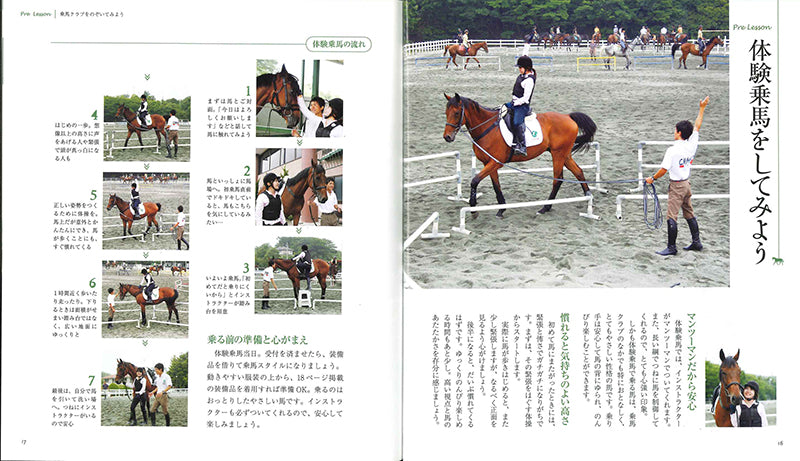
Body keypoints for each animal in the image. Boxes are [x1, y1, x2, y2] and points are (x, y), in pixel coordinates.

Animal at [442, 93, 596, 217]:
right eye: (446, 112)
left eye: (457, 113)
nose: (447, 137)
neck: (487, 128)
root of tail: (568, 117)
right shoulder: (489, 163)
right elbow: (496, 185)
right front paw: (501, 209)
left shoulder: (495, 162)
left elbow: (474, 181)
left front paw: (473, 209)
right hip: (564, 155)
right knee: (578, 171)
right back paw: (588, 197)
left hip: (558, 154)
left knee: (558, 179)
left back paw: (545, 207)